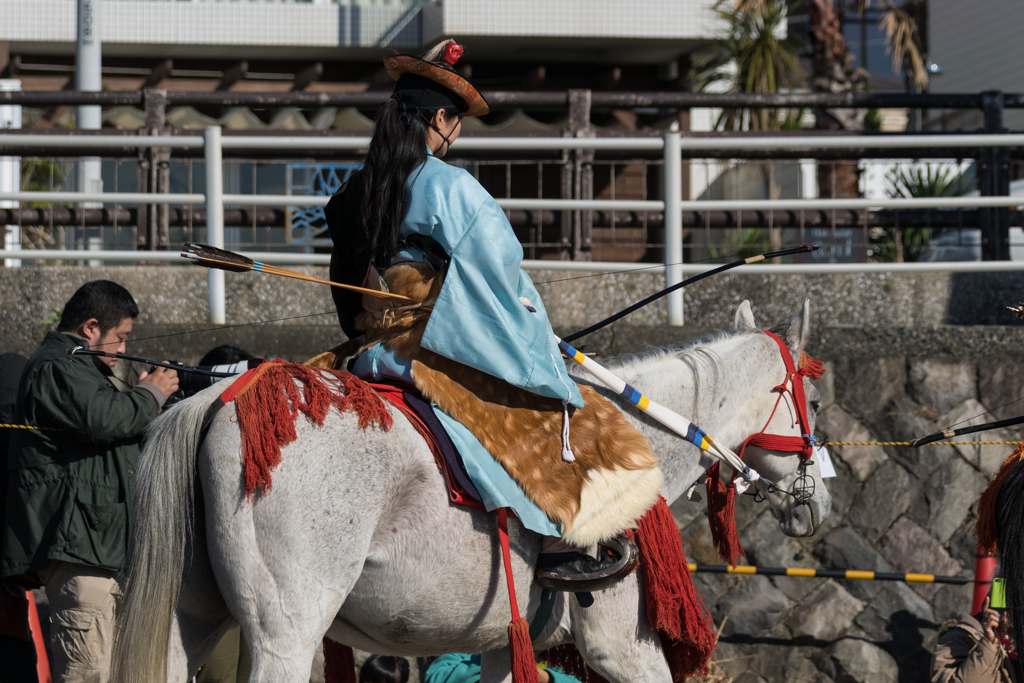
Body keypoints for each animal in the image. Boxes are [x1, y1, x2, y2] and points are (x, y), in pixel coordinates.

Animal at [112, 299, 831, 683]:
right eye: (817, 402)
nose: (821, 504)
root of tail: (218, 396)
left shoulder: (501, 643)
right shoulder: (620, 641)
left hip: (188, 616)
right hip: (286, 627)